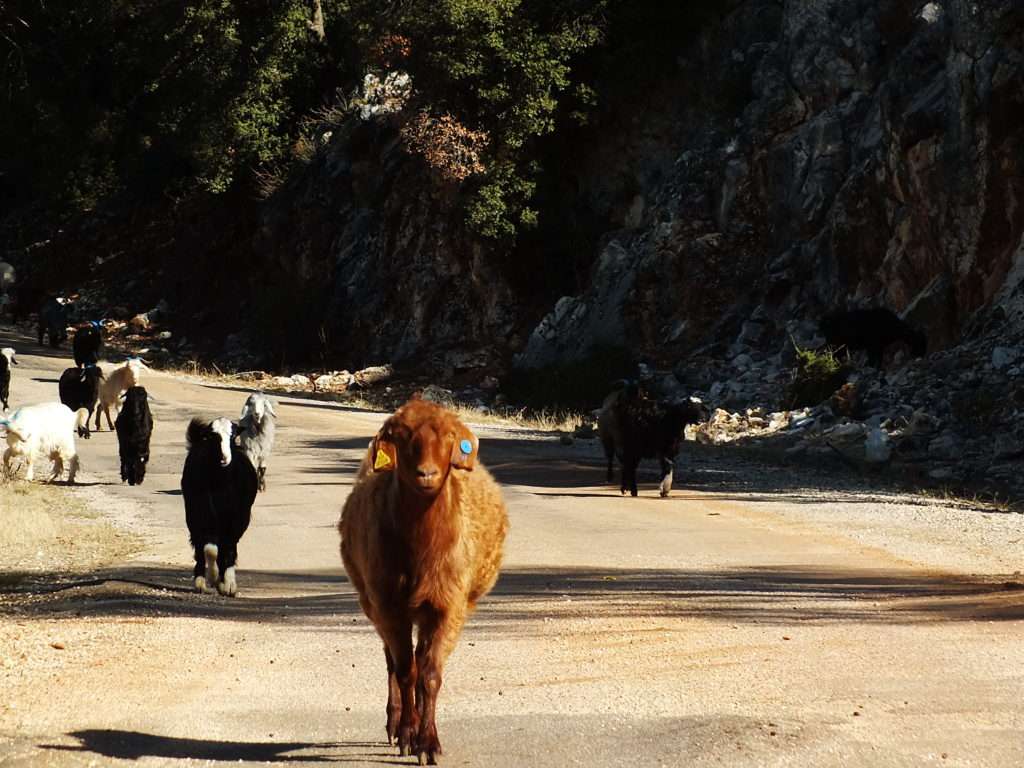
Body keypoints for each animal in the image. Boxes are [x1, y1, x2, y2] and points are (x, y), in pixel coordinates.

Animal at [182, 417, 258, 598]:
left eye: (233, 436)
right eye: (213, 436)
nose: (224, 458)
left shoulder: (238, 517)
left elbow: (228, 547)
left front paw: (228, 585)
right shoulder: (201, 514)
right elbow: (209, 549)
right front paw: (212, 578)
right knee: (202, 547)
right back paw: (203, 581)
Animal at [337, 399, 509, 765]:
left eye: (449, 435)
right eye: (400, 435)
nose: (426, 474)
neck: (422, 549)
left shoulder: (448, 606)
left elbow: (429, 676)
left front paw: (428, 743)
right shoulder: (389, 605)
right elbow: (406, 671)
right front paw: (407, 733)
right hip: (373, 603)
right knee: (393, 661)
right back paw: (395, 724)